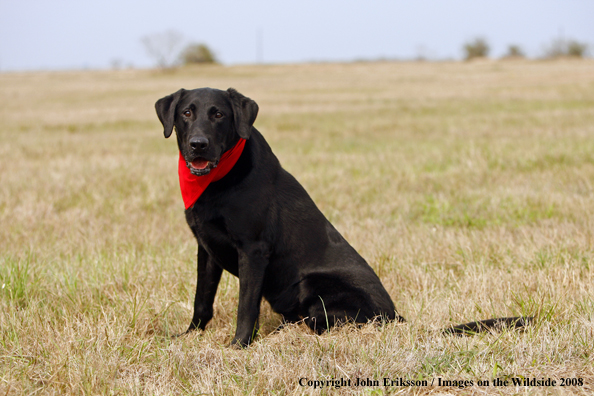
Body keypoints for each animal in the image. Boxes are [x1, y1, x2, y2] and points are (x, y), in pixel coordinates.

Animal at [155, 87, 528, 346]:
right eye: (187, 113)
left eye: (219, 115)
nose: (198, 144)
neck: (217, 180)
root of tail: (396, 317)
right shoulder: (206, 248)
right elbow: (202, 300)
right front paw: (189, 336)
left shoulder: (254, 250)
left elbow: (246, 307)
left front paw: (238, 347)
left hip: (312, 284)